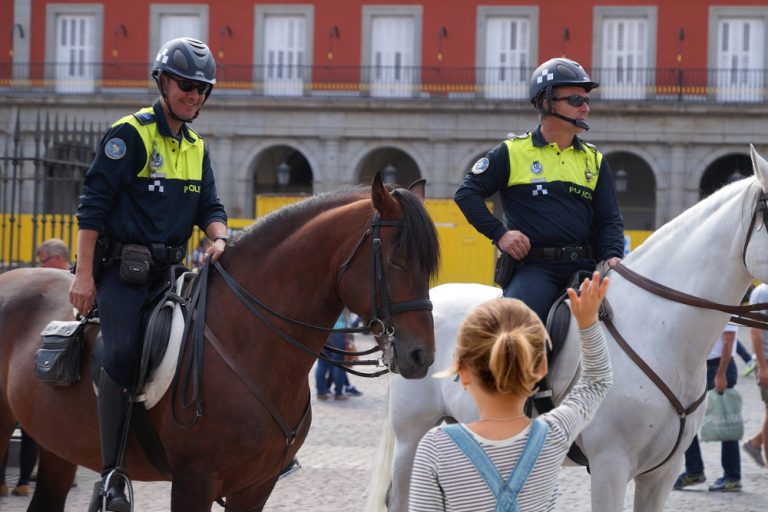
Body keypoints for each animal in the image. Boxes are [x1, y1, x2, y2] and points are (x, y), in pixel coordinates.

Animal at [0, 173, 440, 512]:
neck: (252, 341)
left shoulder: (256, 487)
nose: (421, 355)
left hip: (58, 447)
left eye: (428, 265)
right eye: (397, 260)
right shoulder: (194, 481)